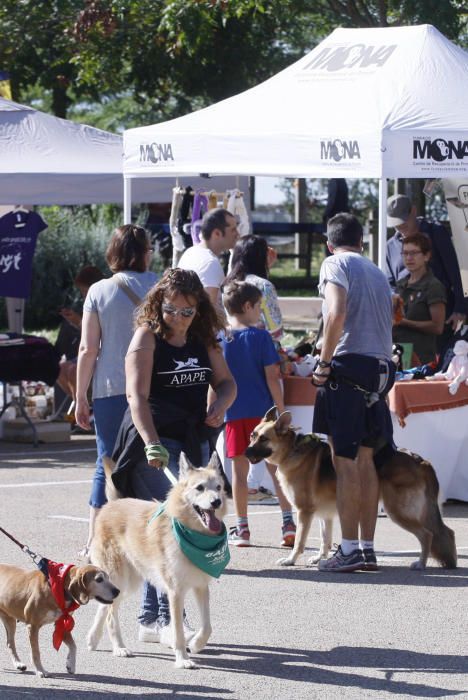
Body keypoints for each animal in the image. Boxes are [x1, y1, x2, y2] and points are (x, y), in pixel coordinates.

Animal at [87, 452, 229, 668]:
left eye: (218, 487)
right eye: (200, 488)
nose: (216, 502)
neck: (191, 532)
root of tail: (113, 504)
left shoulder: (200, 586)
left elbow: (207, 627)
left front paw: (196, 644)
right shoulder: (175, 592)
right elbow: (178, 631)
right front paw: (182, 659)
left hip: (126, 584)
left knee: (104, 606)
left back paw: (93, 638)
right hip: (120, 580)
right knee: (110, 614)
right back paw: (119, 648)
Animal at [245, 408, 458, 572]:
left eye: (264, 439)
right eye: (252, 436)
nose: (245, 452)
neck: (291, 451)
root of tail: (422, 461)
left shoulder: (304, 512)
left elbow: (299, 541)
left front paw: (290, 560)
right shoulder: (324, 515)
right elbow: (325, 539)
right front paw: (320, 558)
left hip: (398, 512)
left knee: (427, 535)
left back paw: (421, 564)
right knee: (446, 532)